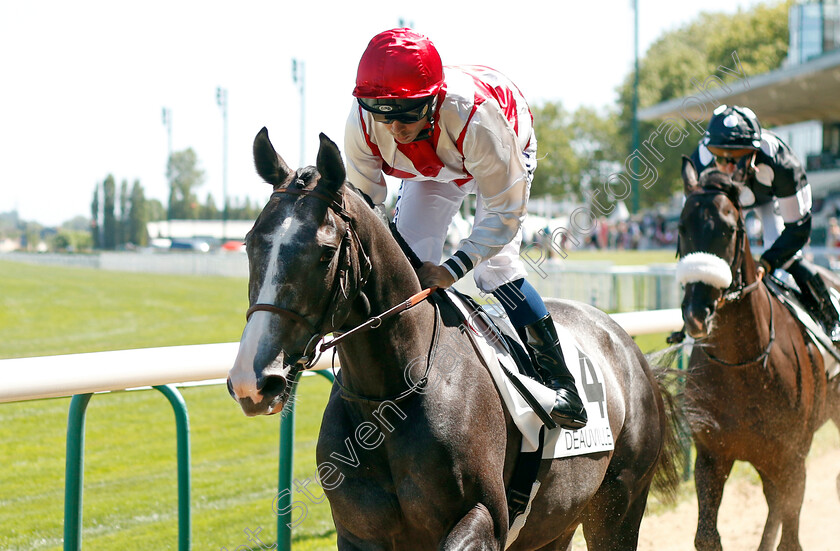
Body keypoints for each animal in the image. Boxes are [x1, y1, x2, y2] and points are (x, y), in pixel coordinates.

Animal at [228, 127, 684, 548]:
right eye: (249, 244)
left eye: (324, 253)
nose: (254, 380)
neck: (390, 398)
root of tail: (624, 342)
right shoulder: (358, 532)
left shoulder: (486, 518)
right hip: (556, 524)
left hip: (619, 504)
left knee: (500, 266)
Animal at [676, 157, 840, 548]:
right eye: (682, 227)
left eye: (729, 229)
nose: (696, 313)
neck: (740, 365)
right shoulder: (712, 455)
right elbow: (707, 536)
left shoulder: (792, 457)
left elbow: (790, 536)